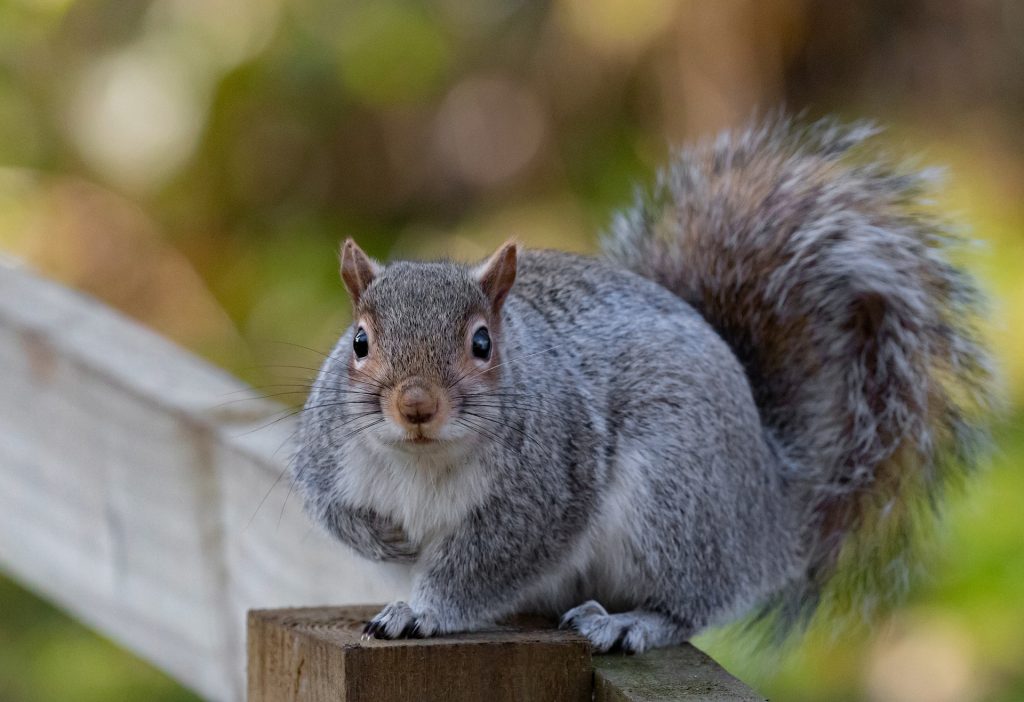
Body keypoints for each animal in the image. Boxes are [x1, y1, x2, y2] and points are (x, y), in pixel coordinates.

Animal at [292, 119, 995, 654]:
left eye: (483, 343)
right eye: (358, 342)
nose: (416, 406)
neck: (423, 459)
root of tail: (772, 508)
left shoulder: (544, 492)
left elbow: (486, 564)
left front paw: (424, 610)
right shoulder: (326, 455)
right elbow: (332, 511)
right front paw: (381, 538)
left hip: (675, 494)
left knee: (690, 603)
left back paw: (630, 622)